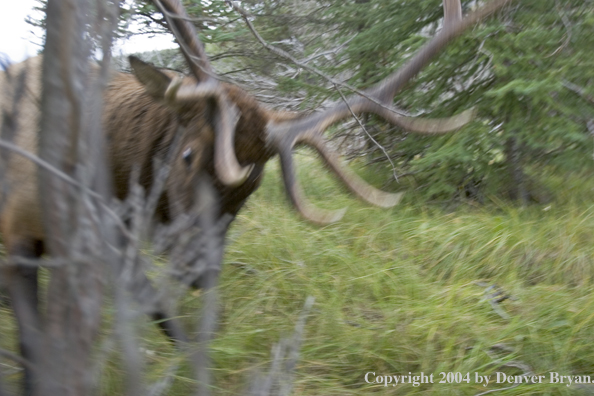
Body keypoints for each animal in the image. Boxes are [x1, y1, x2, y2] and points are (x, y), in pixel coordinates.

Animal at [0, 0, 508, 392]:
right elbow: (34, 343)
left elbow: (160, 312)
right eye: (187, 154)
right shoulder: (20, 231)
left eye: (254, 184)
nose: (201, 270)